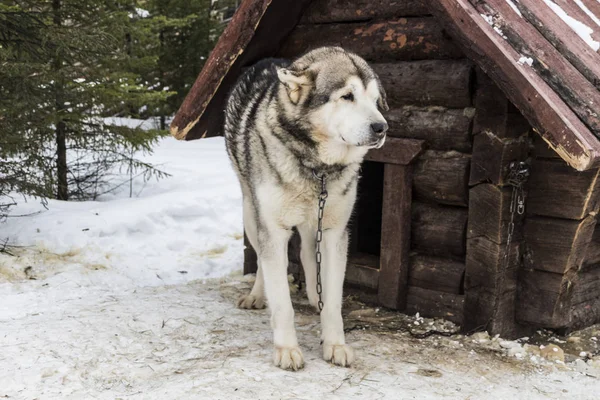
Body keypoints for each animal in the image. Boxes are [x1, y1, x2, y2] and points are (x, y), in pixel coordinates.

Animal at [225, 47, 390, 372]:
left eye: (376, 100)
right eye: (347, 96)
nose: (382, 127)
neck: (318, 167)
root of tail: (269, 60)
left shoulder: (335, 231)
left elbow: (334, 301)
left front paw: (334, 343)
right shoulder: (273, 231)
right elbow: (282, 303)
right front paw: (287, 349)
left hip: (314, 222)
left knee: (306, 254)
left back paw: (316, 295)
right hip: (251, 214)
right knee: (261, 259)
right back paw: (257, 295)